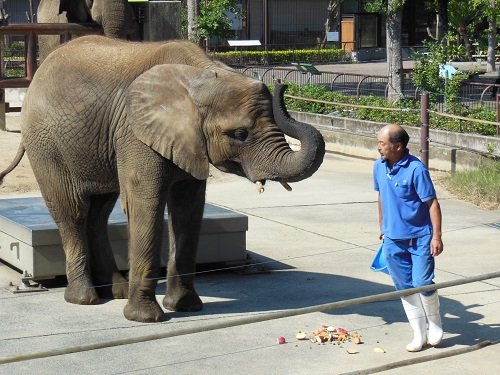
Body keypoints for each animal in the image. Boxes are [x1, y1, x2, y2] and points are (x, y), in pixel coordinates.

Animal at [0, 35, 326, 324]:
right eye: (238, 134)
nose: (282, 83)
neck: (201, 73)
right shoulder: (134, 132)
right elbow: (146, 203)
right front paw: (146, 319)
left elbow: (188, 207)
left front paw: (186, 307)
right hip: (46, 144)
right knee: (73, 211)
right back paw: (84, 298)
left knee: (99, 212)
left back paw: (116, 291)